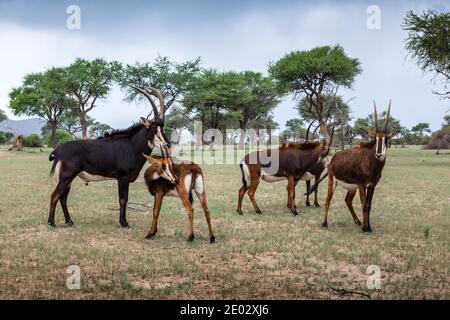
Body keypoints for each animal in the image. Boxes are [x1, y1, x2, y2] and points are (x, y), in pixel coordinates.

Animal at [47, 85, 171, 228]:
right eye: (153, 128)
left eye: (162, 127)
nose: (167, 144)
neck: (132, 145)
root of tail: (58, 150)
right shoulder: (122, 178)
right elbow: (123, 199)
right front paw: (124, 223)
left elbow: (123, 199)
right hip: (66, 177)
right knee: (55, 195)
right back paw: (51, 223)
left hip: (69, 178)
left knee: (63, 197)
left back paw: (70, 221)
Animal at [318, 100, 396, 232]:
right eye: (375, 138)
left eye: (386, 139)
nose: (379, 154)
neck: (371, 163)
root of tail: (334, 158)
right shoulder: (361, 185)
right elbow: (364, 205)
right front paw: (365, 229)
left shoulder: (371, 186)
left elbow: (368, 205)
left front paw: (368, 227)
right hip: (333, 182)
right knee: (327, 200)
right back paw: (324, 223)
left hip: (352, 188)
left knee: (347, 200)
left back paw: (358, 221)